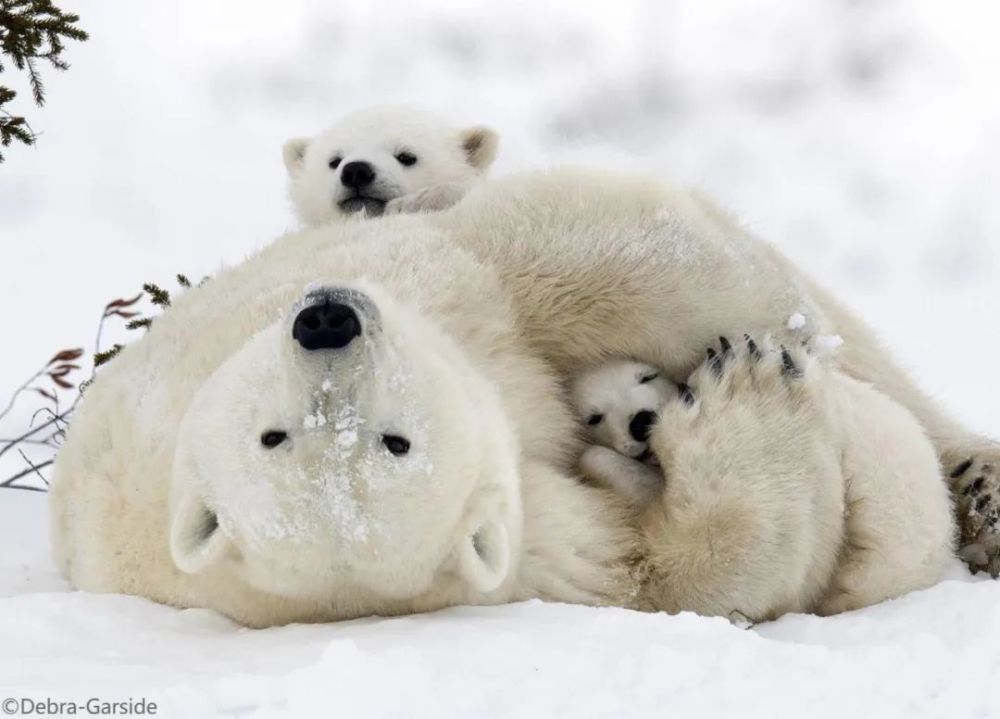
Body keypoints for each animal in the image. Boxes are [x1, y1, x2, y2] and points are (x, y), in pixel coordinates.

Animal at [52, 172, 992, 628]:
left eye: (268, 432)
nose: (327, 321)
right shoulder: (524, 553)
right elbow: (667, 570)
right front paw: (746, 388)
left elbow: (579, 260)